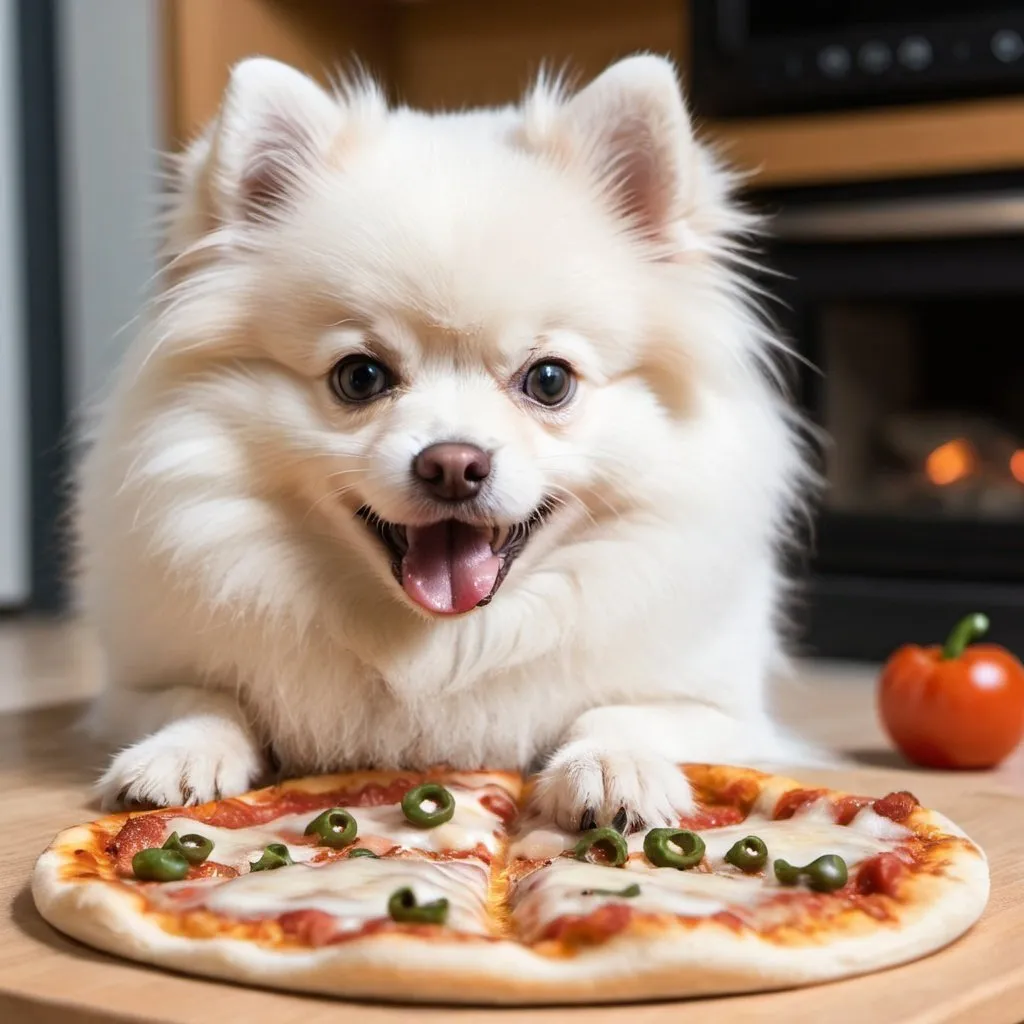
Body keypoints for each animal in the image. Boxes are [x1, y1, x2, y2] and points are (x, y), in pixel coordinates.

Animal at [77, 51, 815, 827]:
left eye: (549, 380)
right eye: (360, 376)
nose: (453, 465)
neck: (443, 647)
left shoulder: (722, 709)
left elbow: (621, 709)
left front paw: (614, 765)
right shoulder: (133, 685)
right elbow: (205, 697)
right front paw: (179, 751)